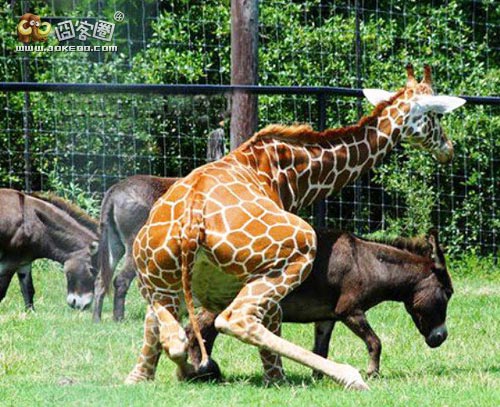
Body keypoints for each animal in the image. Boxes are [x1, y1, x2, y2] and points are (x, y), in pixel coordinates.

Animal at [128, 65, 464, 390]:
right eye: (435, 116)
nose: (448, 148)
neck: (295, 173)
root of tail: (193, 219)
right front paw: (276, 377)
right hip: (298, 250)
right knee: (235, 320)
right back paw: (340, 376)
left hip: (156, 277)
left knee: (169, 335)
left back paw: (164, 373)